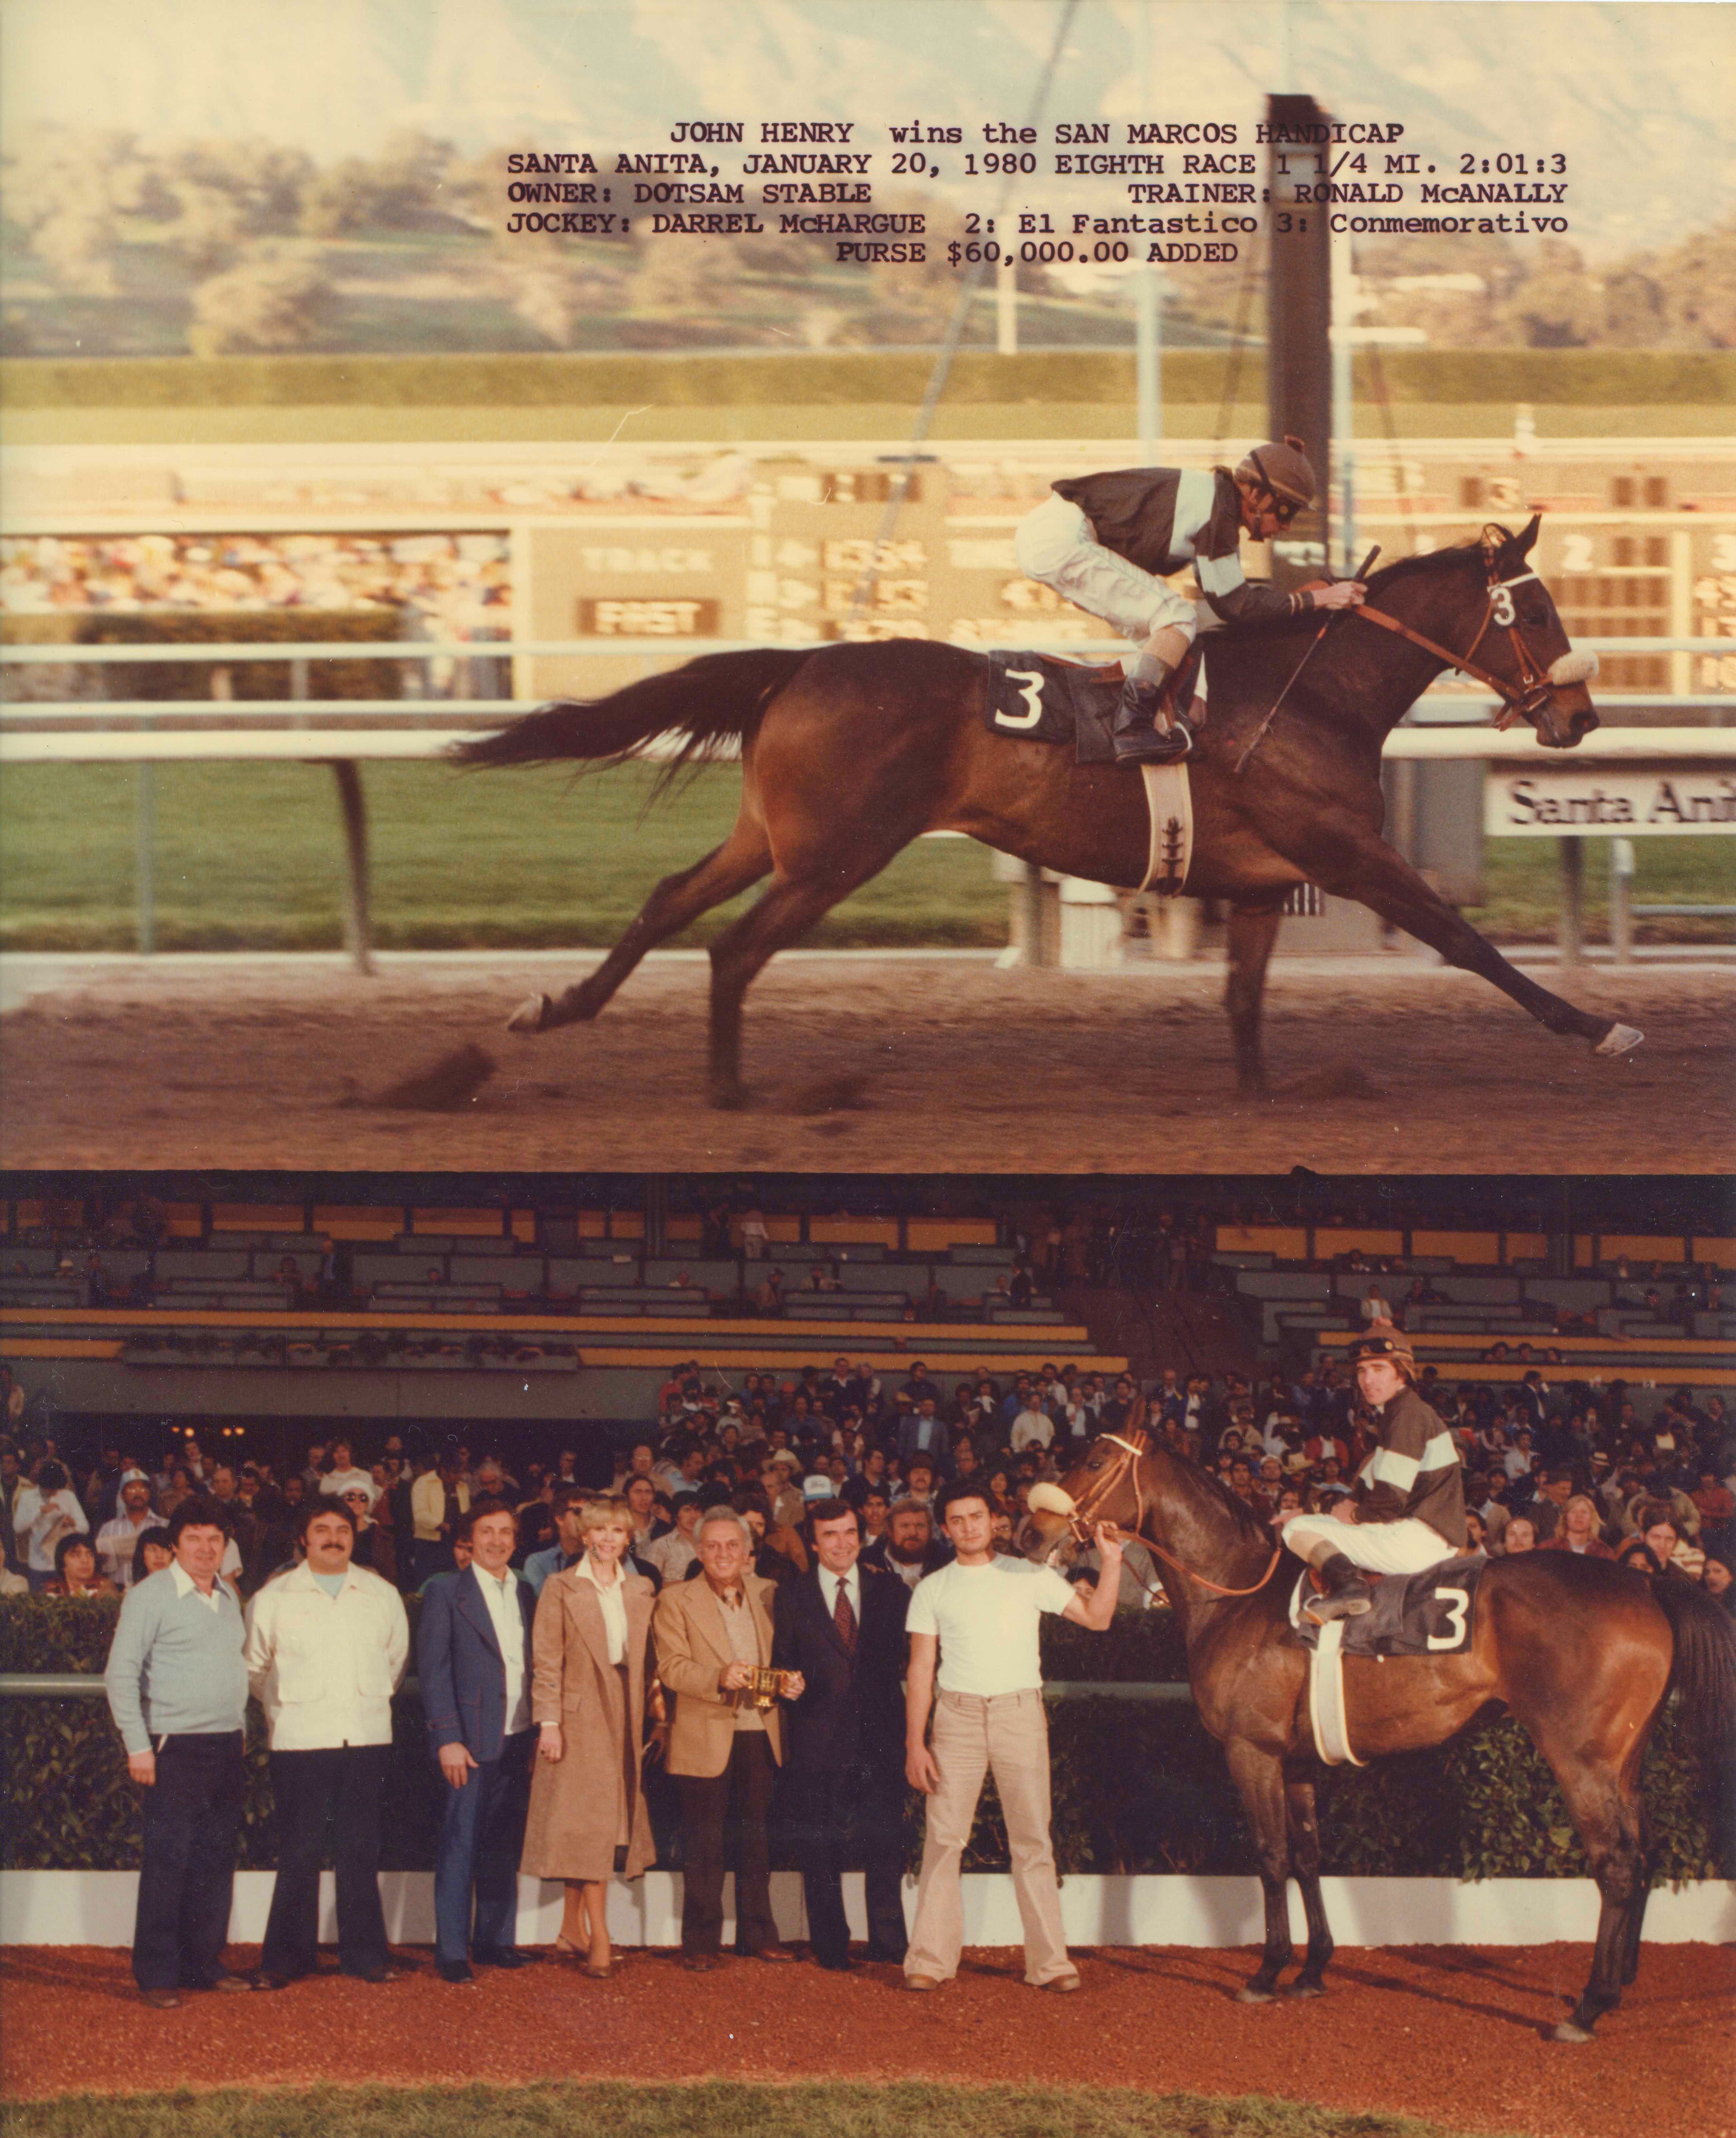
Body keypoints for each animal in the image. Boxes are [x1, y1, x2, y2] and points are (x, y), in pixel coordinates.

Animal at [451, 519, 1642, 1112]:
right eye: (1537, 610)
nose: (1580, 715)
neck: (1309, 693)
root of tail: (800, 663)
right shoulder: (1347, 851)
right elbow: (1465, 942)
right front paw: (1599, 1026)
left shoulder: (1260, 883)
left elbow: (1244, 997)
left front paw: (1262, 1095)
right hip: (837, 854)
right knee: (735, 948)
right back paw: (730, 1087)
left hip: (774, 836)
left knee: (667, 902)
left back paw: (551, 1009)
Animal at [1022, 1420, 1736, 2035]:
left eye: (1093, 1460)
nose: (1032, 1530)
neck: (1236, 1594)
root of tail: (1646, 1585)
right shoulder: (1297, 1761)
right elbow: (1308, 1856)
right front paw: (1312, 1968)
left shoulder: (1251, 1751)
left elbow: (1270, 1856)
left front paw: (1266, 1971)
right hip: (1627, 1759)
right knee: (1645, 1854)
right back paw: (1621, 1981)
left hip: (1580, 1760)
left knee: (1615, 1864)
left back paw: (1588, 2005)